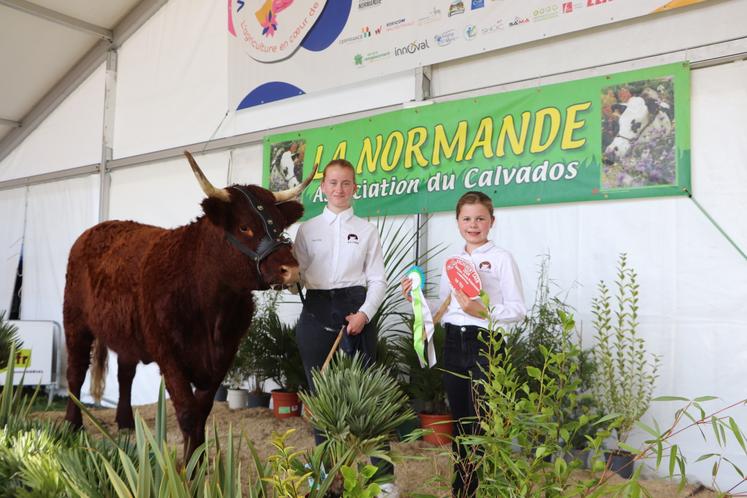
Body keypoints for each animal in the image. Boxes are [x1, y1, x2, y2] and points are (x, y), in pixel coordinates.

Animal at [60, 152, 312, 460]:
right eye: (244, 226)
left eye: (279, 224)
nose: (291, 269)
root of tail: (96, 229)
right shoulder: (169, 355)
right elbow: (188, 411)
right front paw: (188, 465)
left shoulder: (224, 355)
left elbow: (202, 410)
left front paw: (201, 459)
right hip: (75, 320)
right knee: (76, 372)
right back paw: (72, 425)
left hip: (128, 332)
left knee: (125, 374)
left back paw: (126, 422)